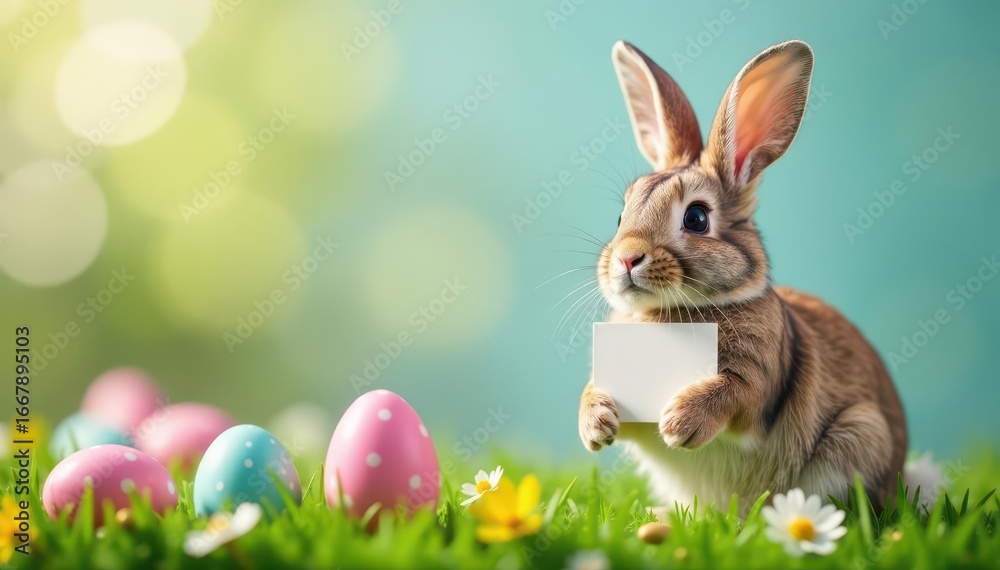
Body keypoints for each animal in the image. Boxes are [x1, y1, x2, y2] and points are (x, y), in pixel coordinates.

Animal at [578, 39, 907, 512]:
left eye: (696, 218)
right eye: (621, 215)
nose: (626, 259)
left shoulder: (759, 379)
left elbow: (733, 392)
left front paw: (679, 423)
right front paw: (595, 425)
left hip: (859, 436)